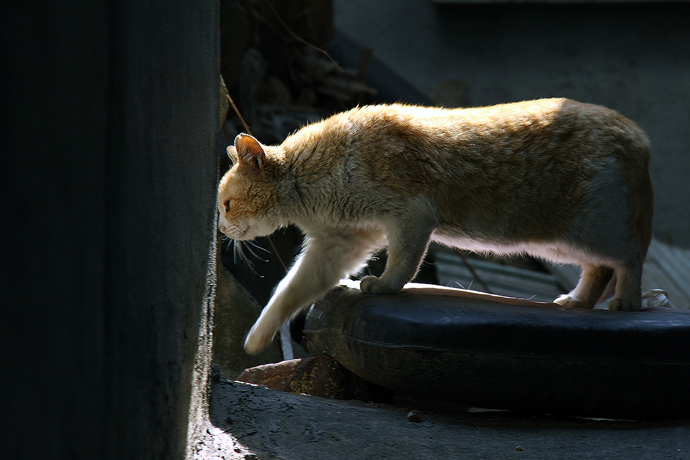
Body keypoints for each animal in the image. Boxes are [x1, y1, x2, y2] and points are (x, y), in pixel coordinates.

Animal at [219, 99, 652, 354]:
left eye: (226, 204)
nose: (222, 232)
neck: (310, 180)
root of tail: (636, 133)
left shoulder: (411, 216)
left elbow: (404, 262)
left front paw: (384, 286)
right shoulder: (339, 245)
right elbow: (288, 292)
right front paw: (256, 340)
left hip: (593, 229)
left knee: (630, 257)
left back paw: (627, 301)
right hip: (562, 243)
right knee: (598, 269)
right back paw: (578, 301)